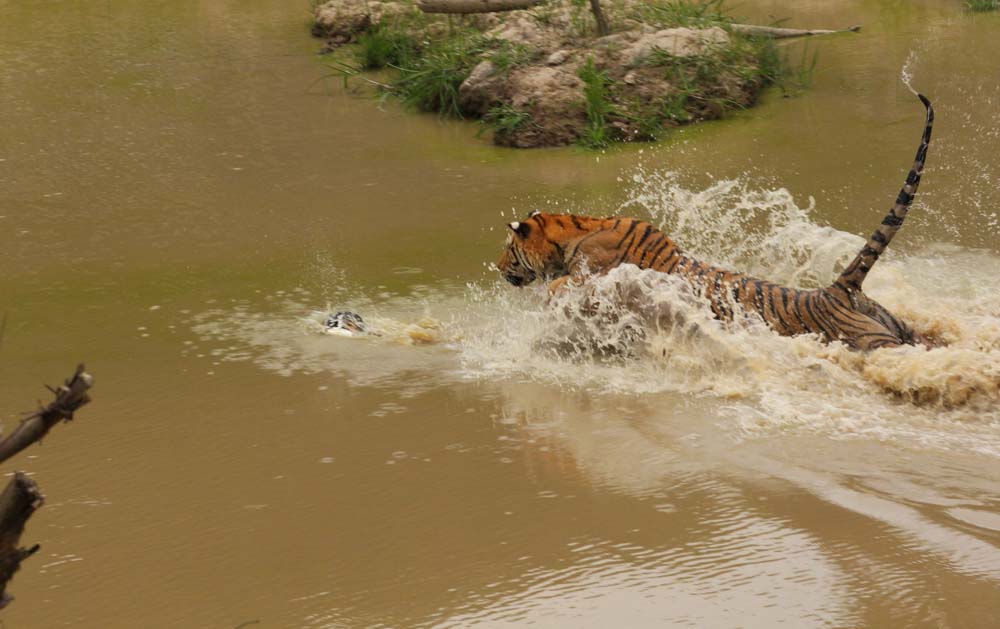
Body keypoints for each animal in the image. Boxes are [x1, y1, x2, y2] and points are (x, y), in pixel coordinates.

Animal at [500, 92, 936, 354]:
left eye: (508, 249)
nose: (498, 267)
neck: (576, 230)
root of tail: (834, 292)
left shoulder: (595, 273)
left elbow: (562, 286)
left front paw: (548, 297)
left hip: (875, 342)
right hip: (899, 328)